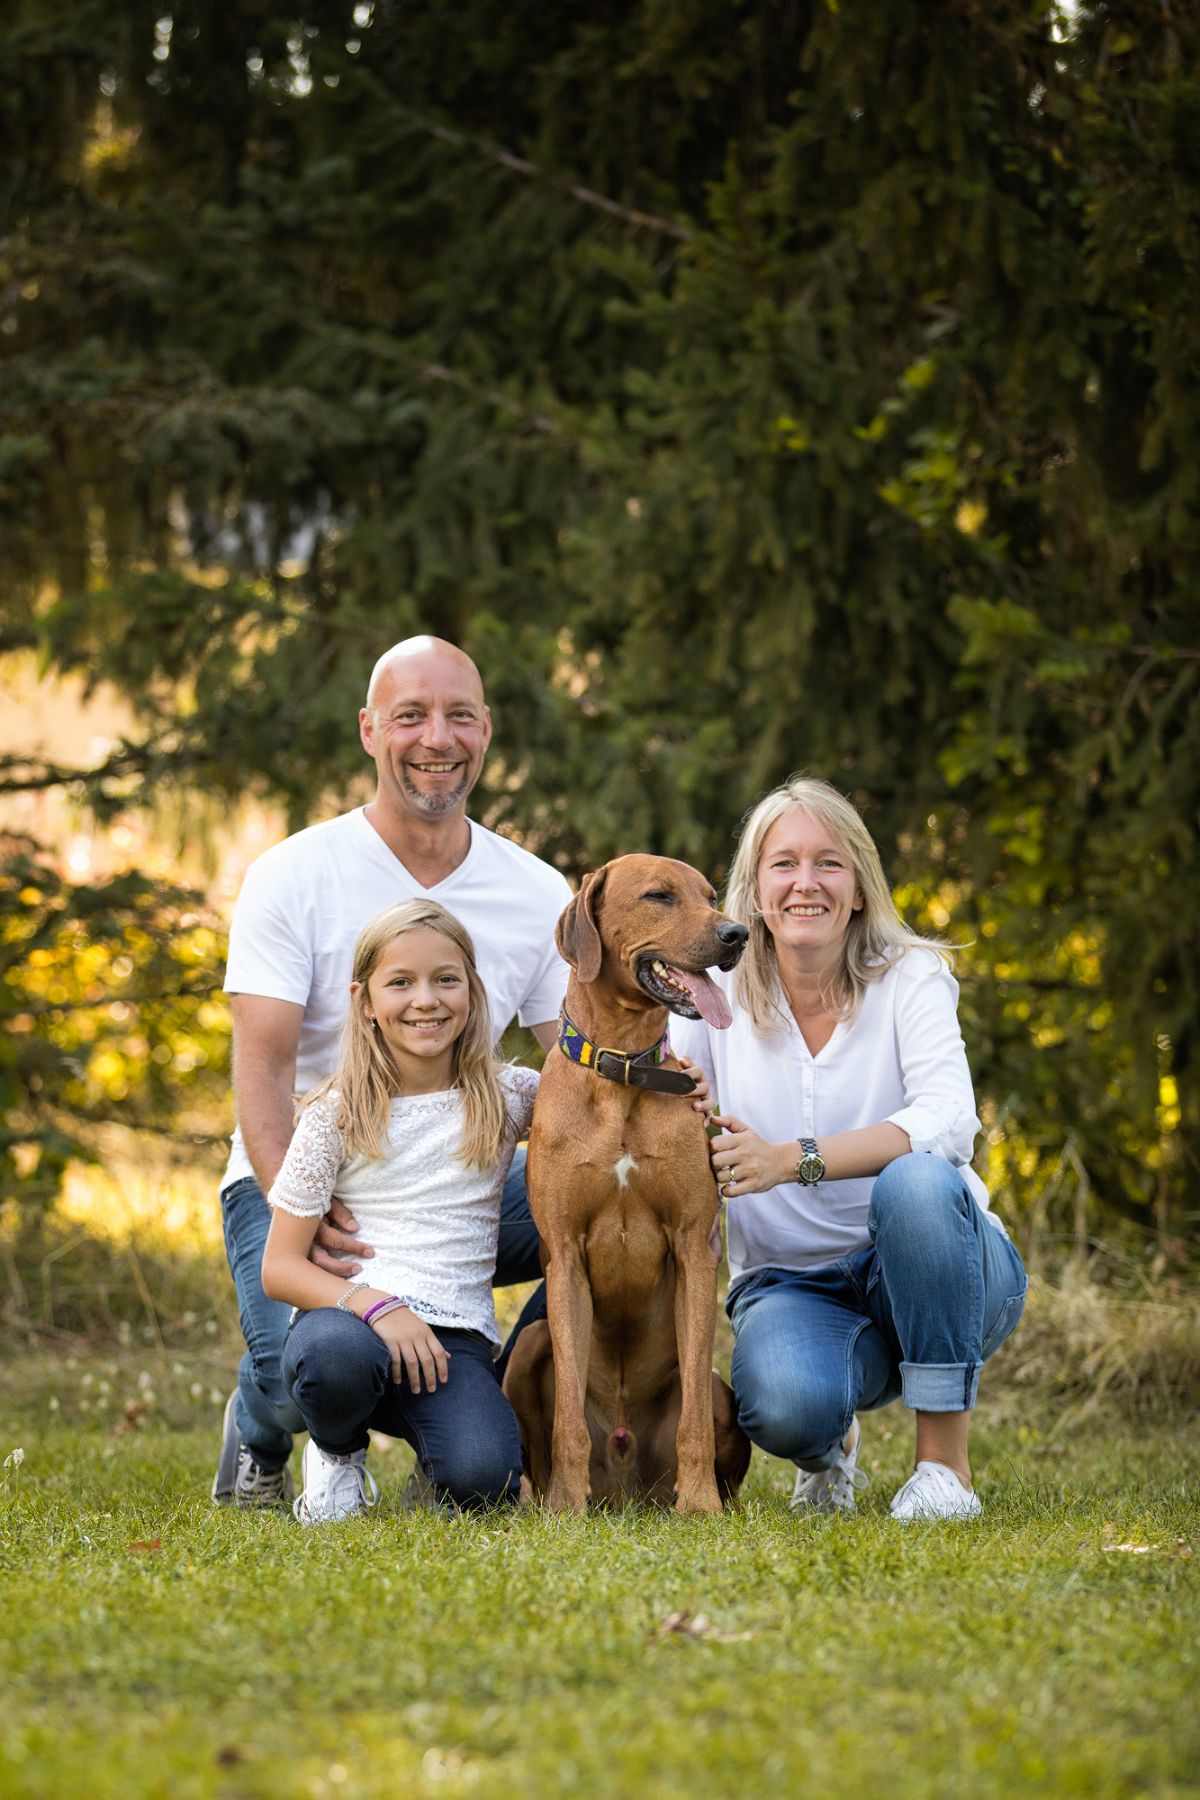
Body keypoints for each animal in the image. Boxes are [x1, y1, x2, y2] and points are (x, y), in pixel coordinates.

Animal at [503, 856, 752, 1519]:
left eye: (710, 896)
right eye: (660, 896)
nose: (737, 934)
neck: (623, 1072)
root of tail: (626, 1493)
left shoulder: (694, 1247)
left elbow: (693, 1415)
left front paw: (700, 1505)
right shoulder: (563, 1254)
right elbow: (566, 1418)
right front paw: (566, 1506)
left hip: (721, 1394)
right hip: (528, 1345)